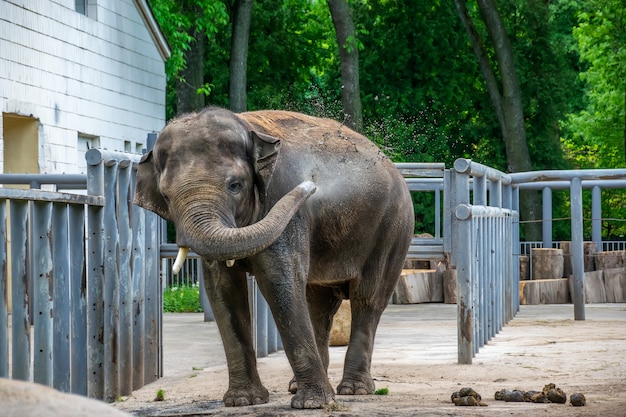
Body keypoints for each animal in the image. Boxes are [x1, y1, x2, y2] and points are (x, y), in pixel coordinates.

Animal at [133, 107, 414, 410]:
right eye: (165, 195)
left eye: (235, 185)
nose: (312, 185)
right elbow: (222, 289)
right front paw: (243, 401)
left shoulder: (282, 196)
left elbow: (278, 279)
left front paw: (313, 404)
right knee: (318, 304)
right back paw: (297, 386)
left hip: (393, 229)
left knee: (368, 299)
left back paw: (353, 390)